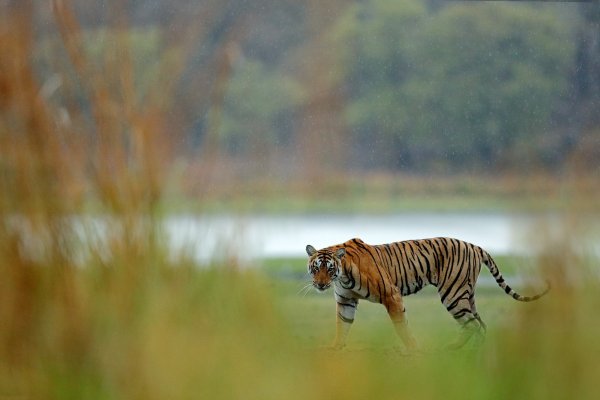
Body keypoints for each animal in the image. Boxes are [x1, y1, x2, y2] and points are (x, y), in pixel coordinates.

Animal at [304, 238, 548, 350]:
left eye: (329, 269)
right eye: (316, 268)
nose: (320, 284)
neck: (342, 274)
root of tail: (475, 245)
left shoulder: (392, 295)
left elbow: (401, 326)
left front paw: (413, 348)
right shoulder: (346, 300)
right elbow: (342, 326)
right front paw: (335, 348)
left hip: (453, 294)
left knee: (473, 324)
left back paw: (457, 349)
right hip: (467, 295)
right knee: (480, 324)